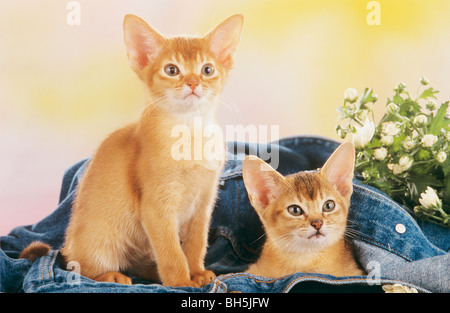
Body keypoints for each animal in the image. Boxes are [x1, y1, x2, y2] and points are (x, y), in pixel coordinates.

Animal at [20, 14, 244, 288]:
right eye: (172, 70)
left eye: (207, 70)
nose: (193, 83)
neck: (190, 133)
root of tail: (66, 246)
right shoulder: (156, 209)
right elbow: (171, 252)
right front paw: (181, 281)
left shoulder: (203, 203)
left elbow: (195, 243)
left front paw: (197, 273)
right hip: (101, 239)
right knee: (81, 268)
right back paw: (112, 275)